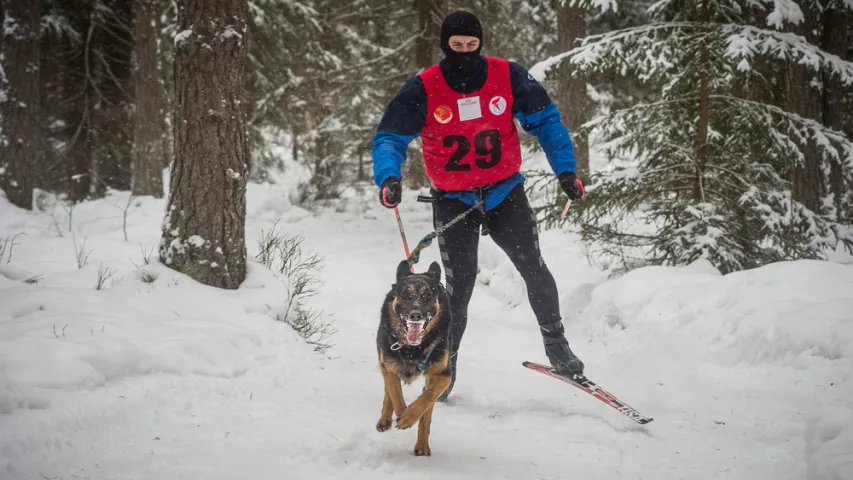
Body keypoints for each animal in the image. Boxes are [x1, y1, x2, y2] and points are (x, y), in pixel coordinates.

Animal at [374, 260, 452, 456]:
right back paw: (385, 419)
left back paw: (422, 446)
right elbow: (394, 392)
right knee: (388, 388)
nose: (415, 314)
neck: (413, 349)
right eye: (406, 295)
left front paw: (410, 416)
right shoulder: (387, 364)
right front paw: (402, 413)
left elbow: (428, 399)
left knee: (428, 409)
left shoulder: (443, 374)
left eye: (427, 295)